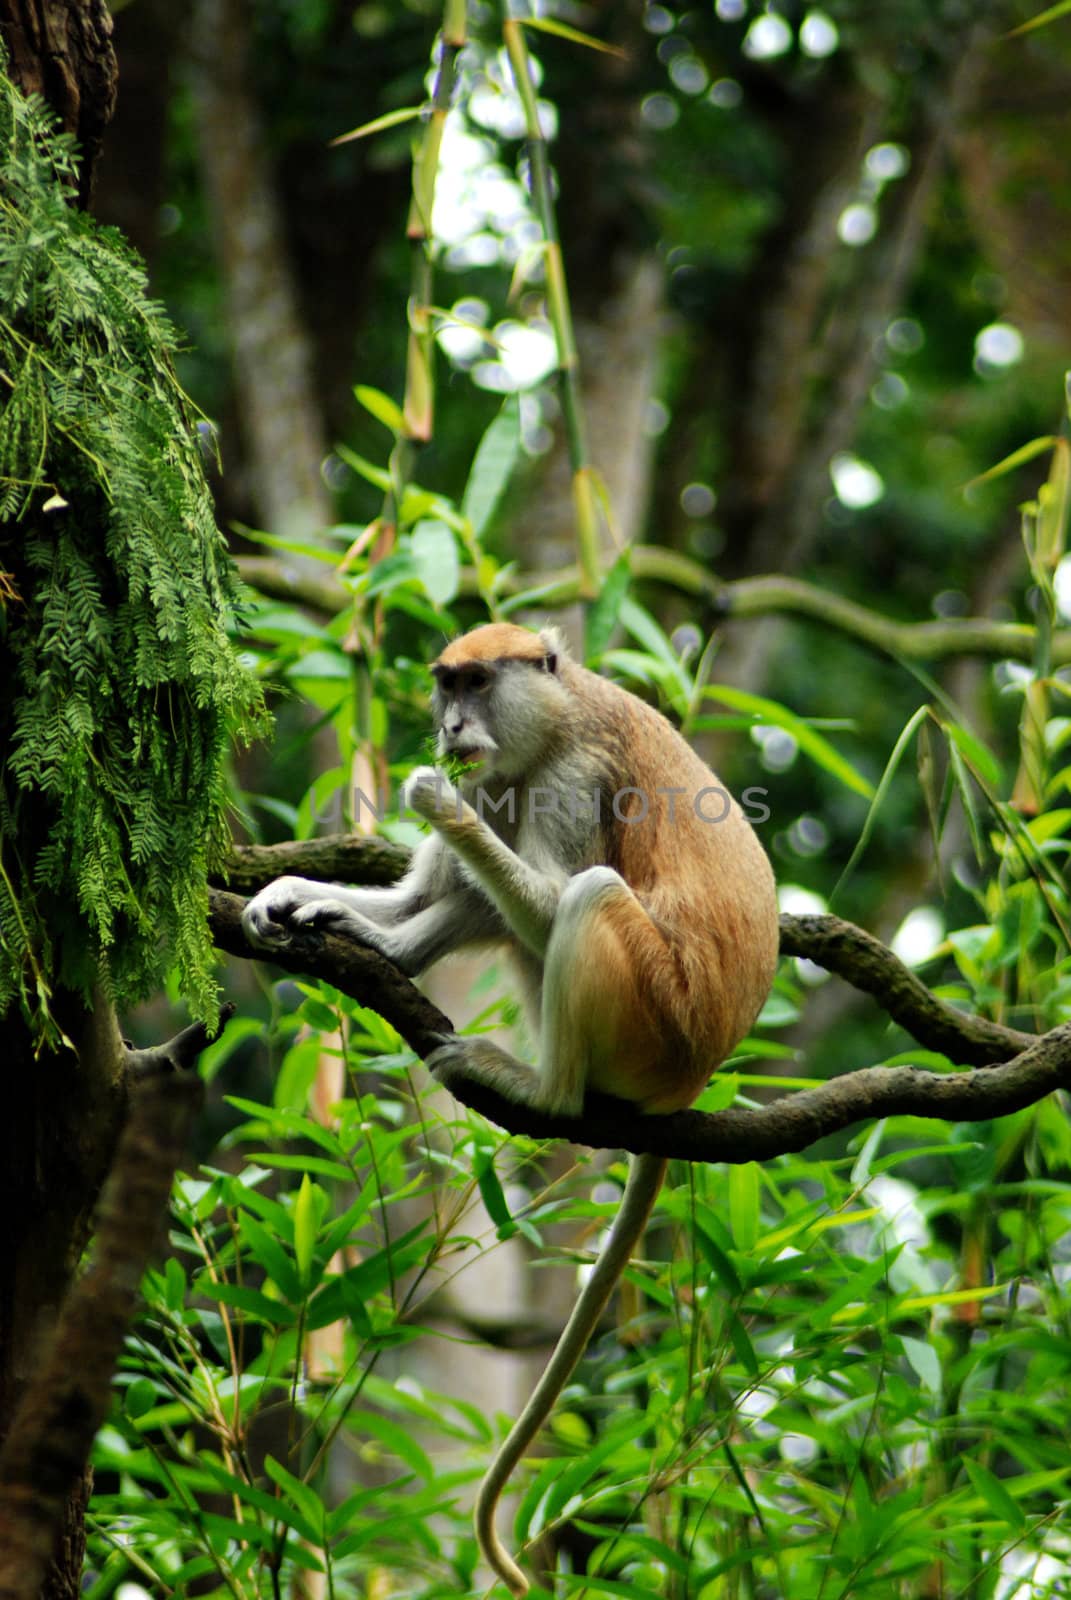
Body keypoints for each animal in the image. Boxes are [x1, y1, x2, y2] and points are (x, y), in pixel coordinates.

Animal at [241, 617, 778, 1593]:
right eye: (445, 685)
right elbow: (442, 883)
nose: (453, 728)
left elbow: (543, 882)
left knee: (583, 897)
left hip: (653, 1016)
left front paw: (433, 802)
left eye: (480, 684)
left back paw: (541, 1089)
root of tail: (692, 1076)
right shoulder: (506, 771)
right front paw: (296, 896)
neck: (560, 706)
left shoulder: (572, 777)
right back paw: (390, 948)